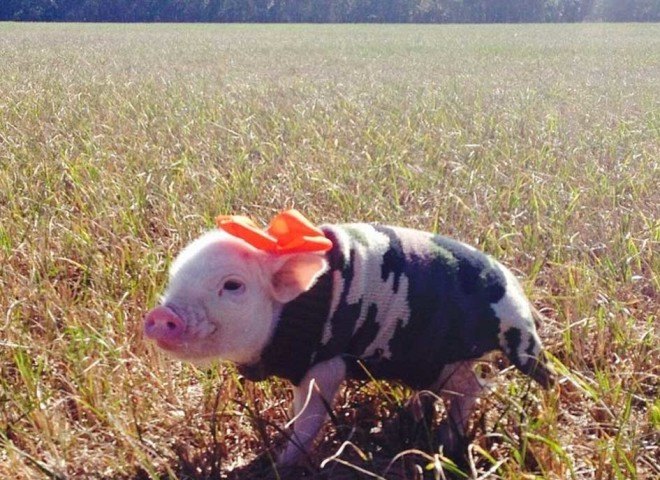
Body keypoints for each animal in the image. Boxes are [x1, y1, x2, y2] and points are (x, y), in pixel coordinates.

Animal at [144, 221, 554, 466]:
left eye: (232, 286)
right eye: (174, 277)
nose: (160, 315)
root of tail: (523, 306)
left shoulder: (325, 362)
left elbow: (309, 416)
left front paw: (281, 463)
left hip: (452, 358)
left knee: (473, 389)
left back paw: (441, 443)